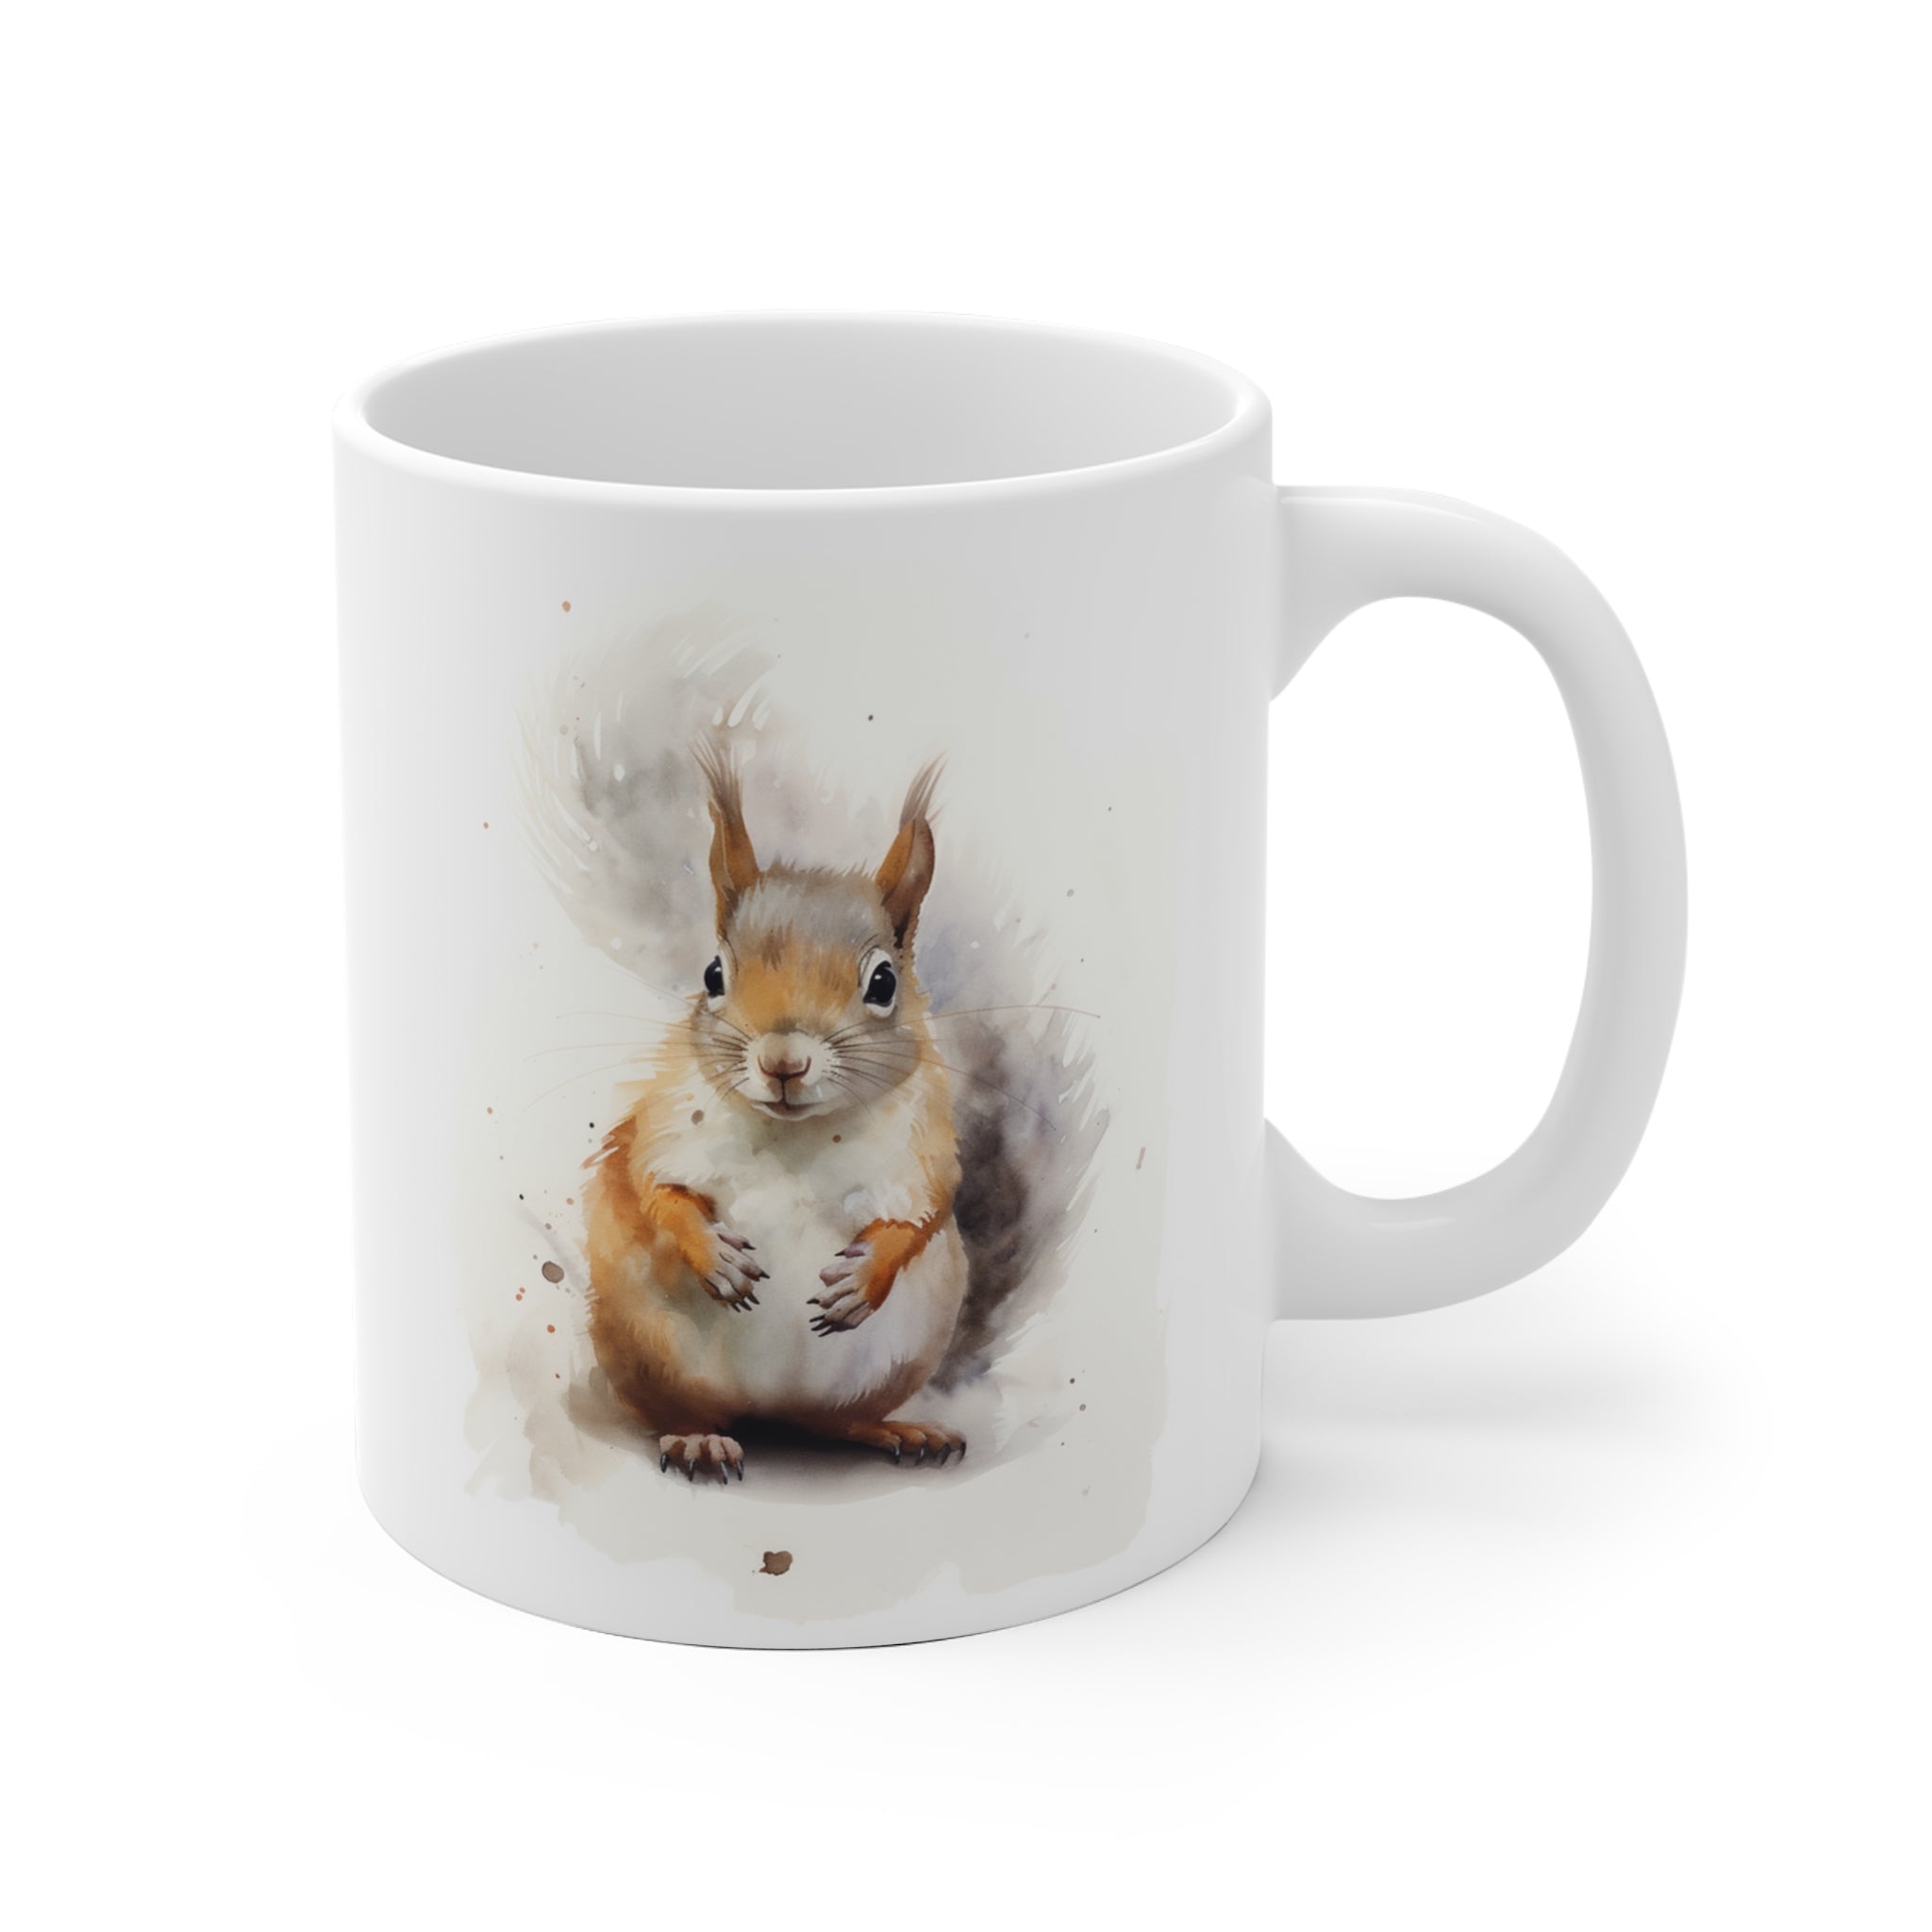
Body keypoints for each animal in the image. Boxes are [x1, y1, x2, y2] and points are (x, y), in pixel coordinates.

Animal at [583, 745, 970, 1483]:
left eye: (884, 982)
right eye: (713, 974)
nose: (783, 1062)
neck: (799, 1137)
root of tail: (775, 1411)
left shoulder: (926, 1151)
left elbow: (923, 1215)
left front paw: (861, 1281)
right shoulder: (662, 1128)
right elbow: (655, 1190)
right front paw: (717, 1259)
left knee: (840, 1421)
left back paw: (900, 1430)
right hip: (649, 1346)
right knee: (685, 1411)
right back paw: (699, 1439)